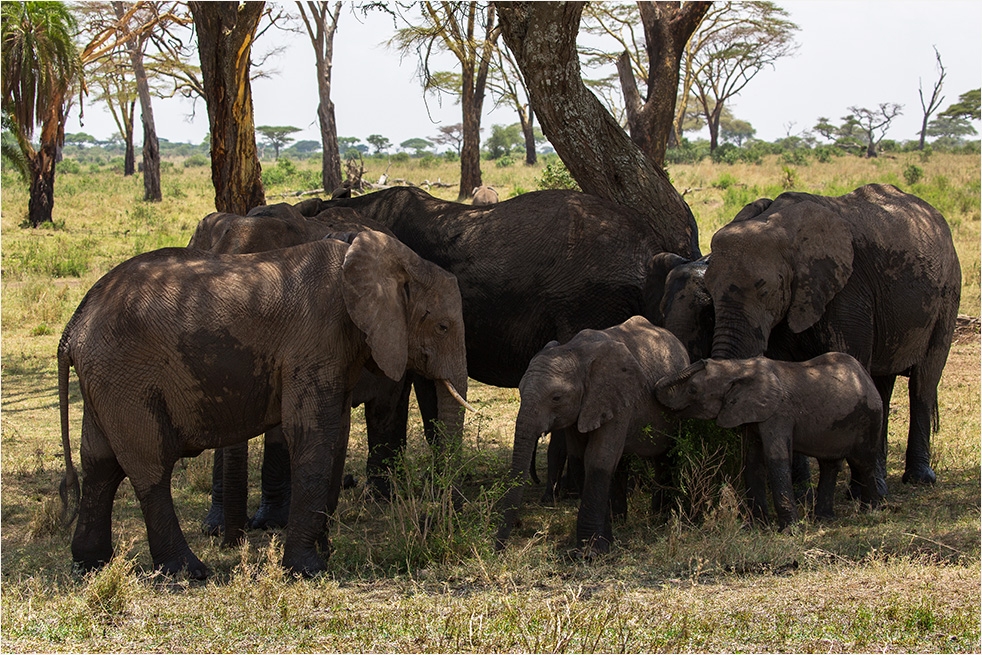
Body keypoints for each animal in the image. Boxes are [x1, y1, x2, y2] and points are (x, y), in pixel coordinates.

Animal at [59, 231, 470, 580]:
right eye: (443, 327)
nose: (433, 524)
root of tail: (74, 325)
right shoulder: (315, 342)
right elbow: (312, 436)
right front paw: (308, 570)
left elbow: (335, 436)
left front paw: (324, 553)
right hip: (124, 374)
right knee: (149, 464)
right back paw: (188, 572)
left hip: (106, 377)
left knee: (100, 464)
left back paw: (91, 566)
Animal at [496, 316, 688, 556]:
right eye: (520, 391)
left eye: (556, 398)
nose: (499, 549)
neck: (575, 352)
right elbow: (580, 459)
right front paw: (602, 544)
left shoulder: (617, 396)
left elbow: (598, 459)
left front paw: (591, 554)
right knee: (621, 463)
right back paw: (620, 519)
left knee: (664, 458)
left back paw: (660, 518)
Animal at [656, 352, 888, 532]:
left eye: (693, 389)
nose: (703, 360)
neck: (739, 367)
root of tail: (866, 376)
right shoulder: (751, 415)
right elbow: (752, 461)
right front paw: (754, 527)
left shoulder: (778, 413)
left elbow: (775, 458)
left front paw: (789, 531)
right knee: (829, 465)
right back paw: (824, 518)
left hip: (869, 418)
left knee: (864, 462)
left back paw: (871, 511)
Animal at [704, 182, 964, 490]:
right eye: (707, 287)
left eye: (764, 289)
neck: (778, 222)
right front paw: (802, 487)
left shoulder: (847, 289)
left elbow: (850, 361)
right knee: (883, 383)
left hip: (948, 294)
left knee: (924, 380)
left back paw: (916, 479)